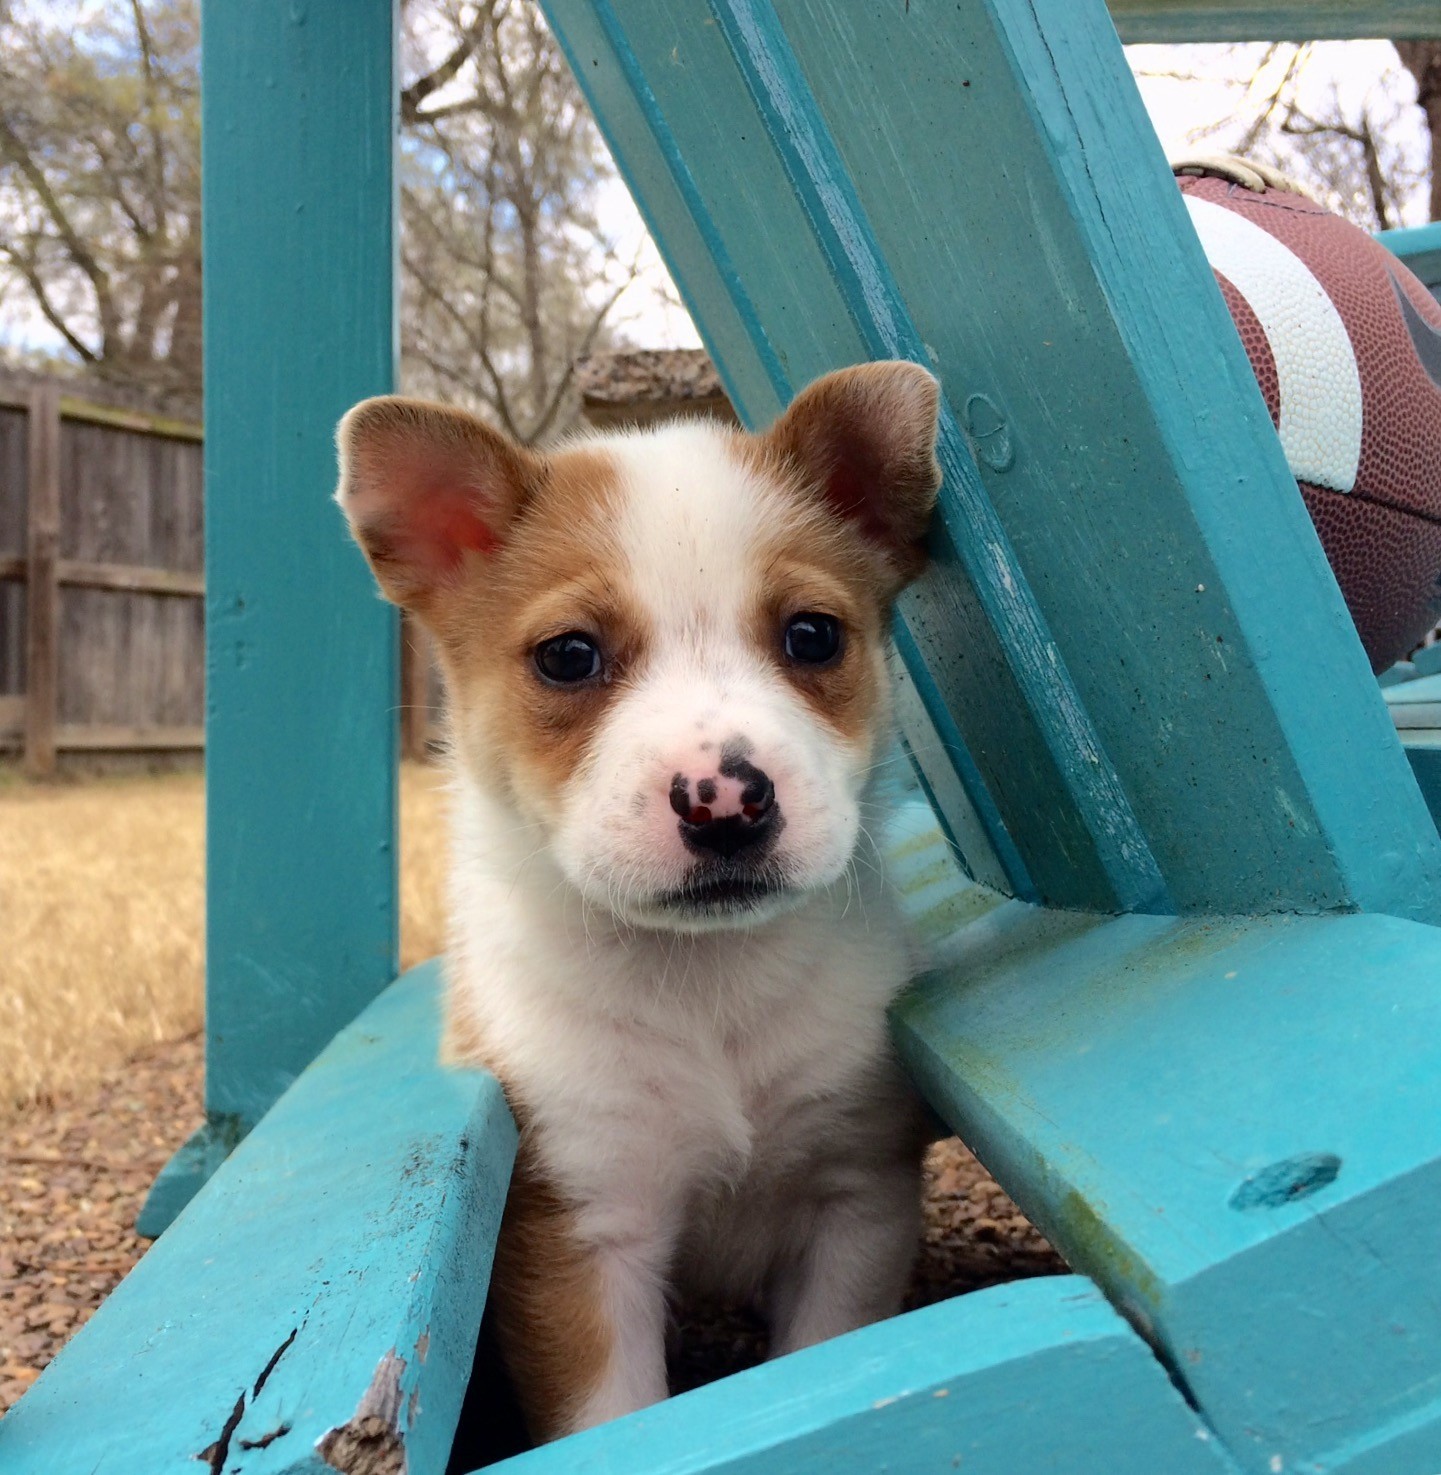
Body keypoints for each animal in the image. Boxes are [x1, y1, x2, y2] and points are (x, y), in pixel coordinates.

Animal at [337, 354, 943, 1439]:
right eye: (567, 655)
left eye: (812, 636)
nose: (726, 799)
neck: (707, 985)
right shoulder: (585, 1235)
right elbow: (613, 1414)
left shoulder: (854, 1202)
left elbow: (823, 1356)